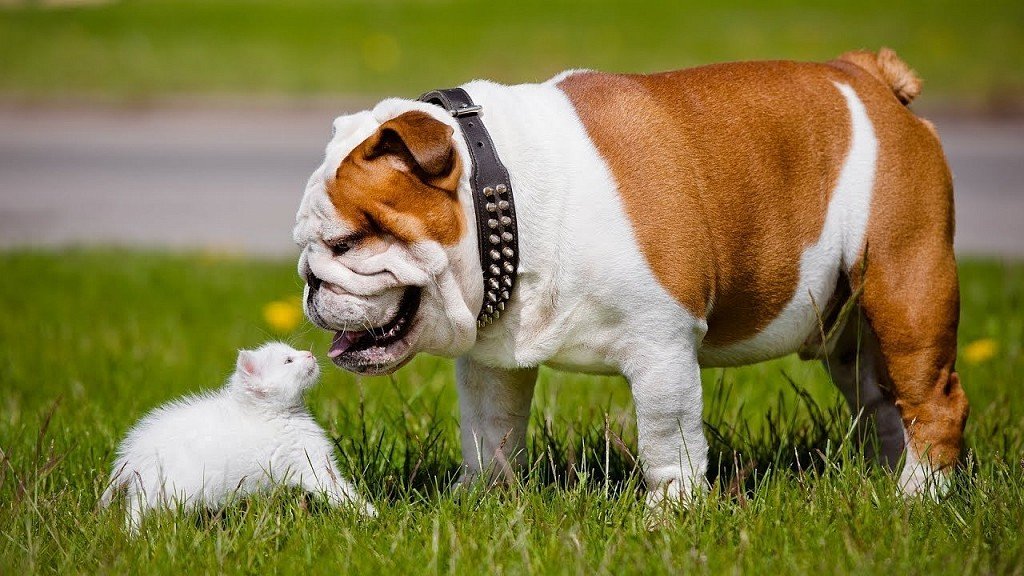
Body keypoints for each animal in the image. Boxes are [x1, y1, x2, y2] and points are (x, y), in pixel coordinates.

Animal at [96, 340, 372, 528]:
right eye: (288, 361)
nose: (310, 353)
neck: (274, 415)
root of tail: (132, 454)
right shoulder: (308, 463)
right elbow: (339, 490)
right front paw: (370, 514)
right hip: (163, 488)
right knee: (136, 512)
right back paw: (136, 537)